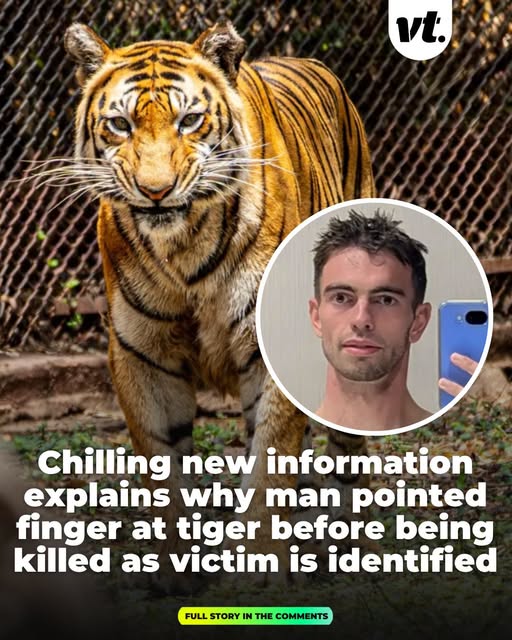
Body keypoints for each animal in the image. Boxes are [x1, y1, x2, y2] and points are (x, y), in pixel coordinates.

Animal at [63, 20, 375, 591]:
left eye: (189, 120)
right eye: (119, 124)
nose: (156, 191)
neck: (181, 247)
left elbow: (270, 464)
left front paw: (259, 567)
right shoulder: (142, 354)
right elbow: (163, 467)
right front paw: (171, 566)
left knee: (347, 449)